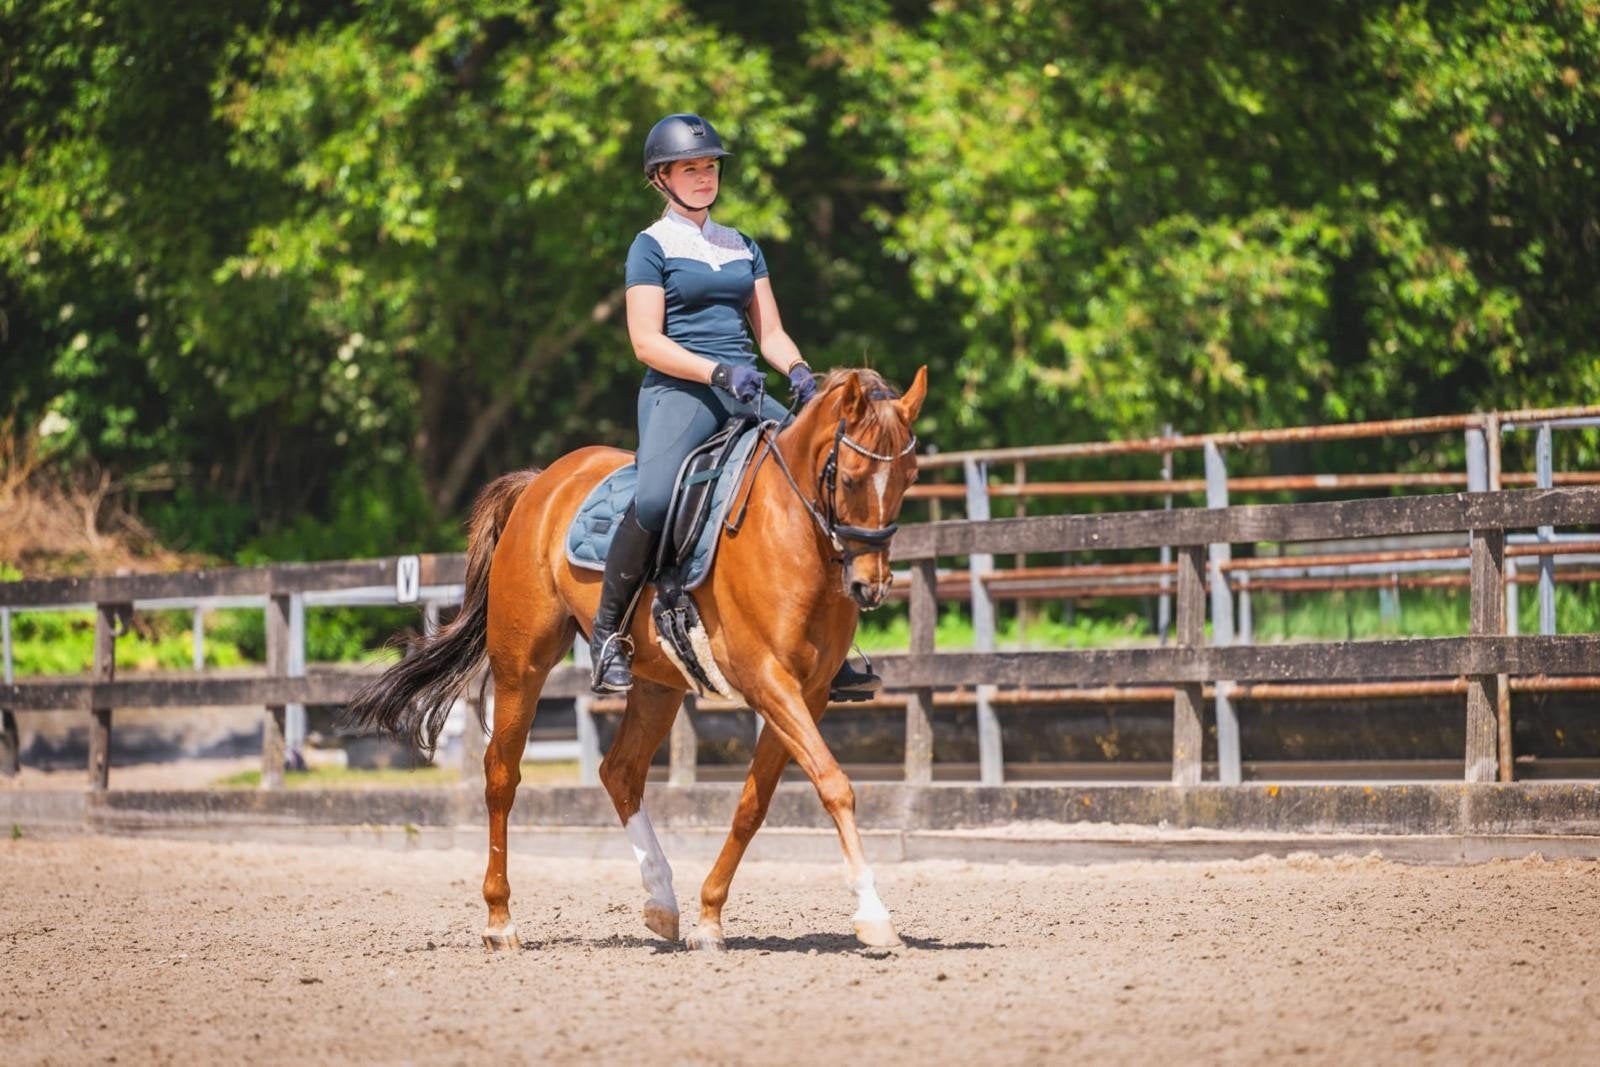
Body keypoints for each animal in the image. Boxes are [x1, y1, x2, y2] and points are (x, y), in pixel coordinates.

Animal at [344, 366, 927, 951]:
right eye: (849, 478)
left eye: (909, 477)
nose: (871, 586)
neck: (791, 534)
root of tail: (540, 483)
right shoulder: (768, 681)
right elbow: (834, 784)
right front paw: (873, 912)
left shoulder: (807, 693)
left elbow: (753, 804)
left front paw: (710, 918)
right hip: (522, 667)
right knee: (501, 775)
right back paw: (500, 921)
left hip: (658, 682)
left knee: (620, 770)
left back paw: (661, 900)